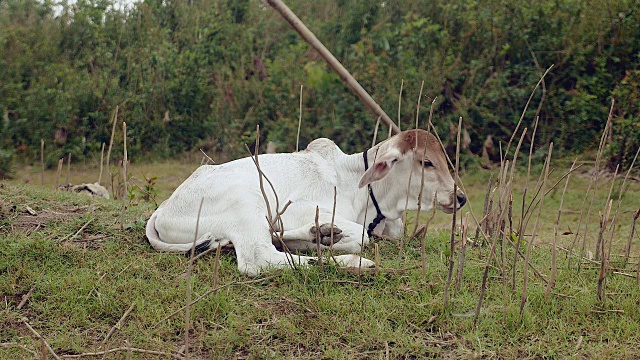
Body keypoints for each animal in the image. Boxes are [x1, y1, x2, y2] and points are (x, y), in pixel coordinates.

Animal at [145, 129, 464, 276]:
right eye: (426, 162)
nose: (459, 196)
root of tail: (162, 210)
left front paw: (322, 234)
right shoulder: (297, 206)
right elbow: (361, 236)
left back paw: (319, 234)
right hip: (246, 201)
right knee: (259, 258)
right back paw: (351, 259)